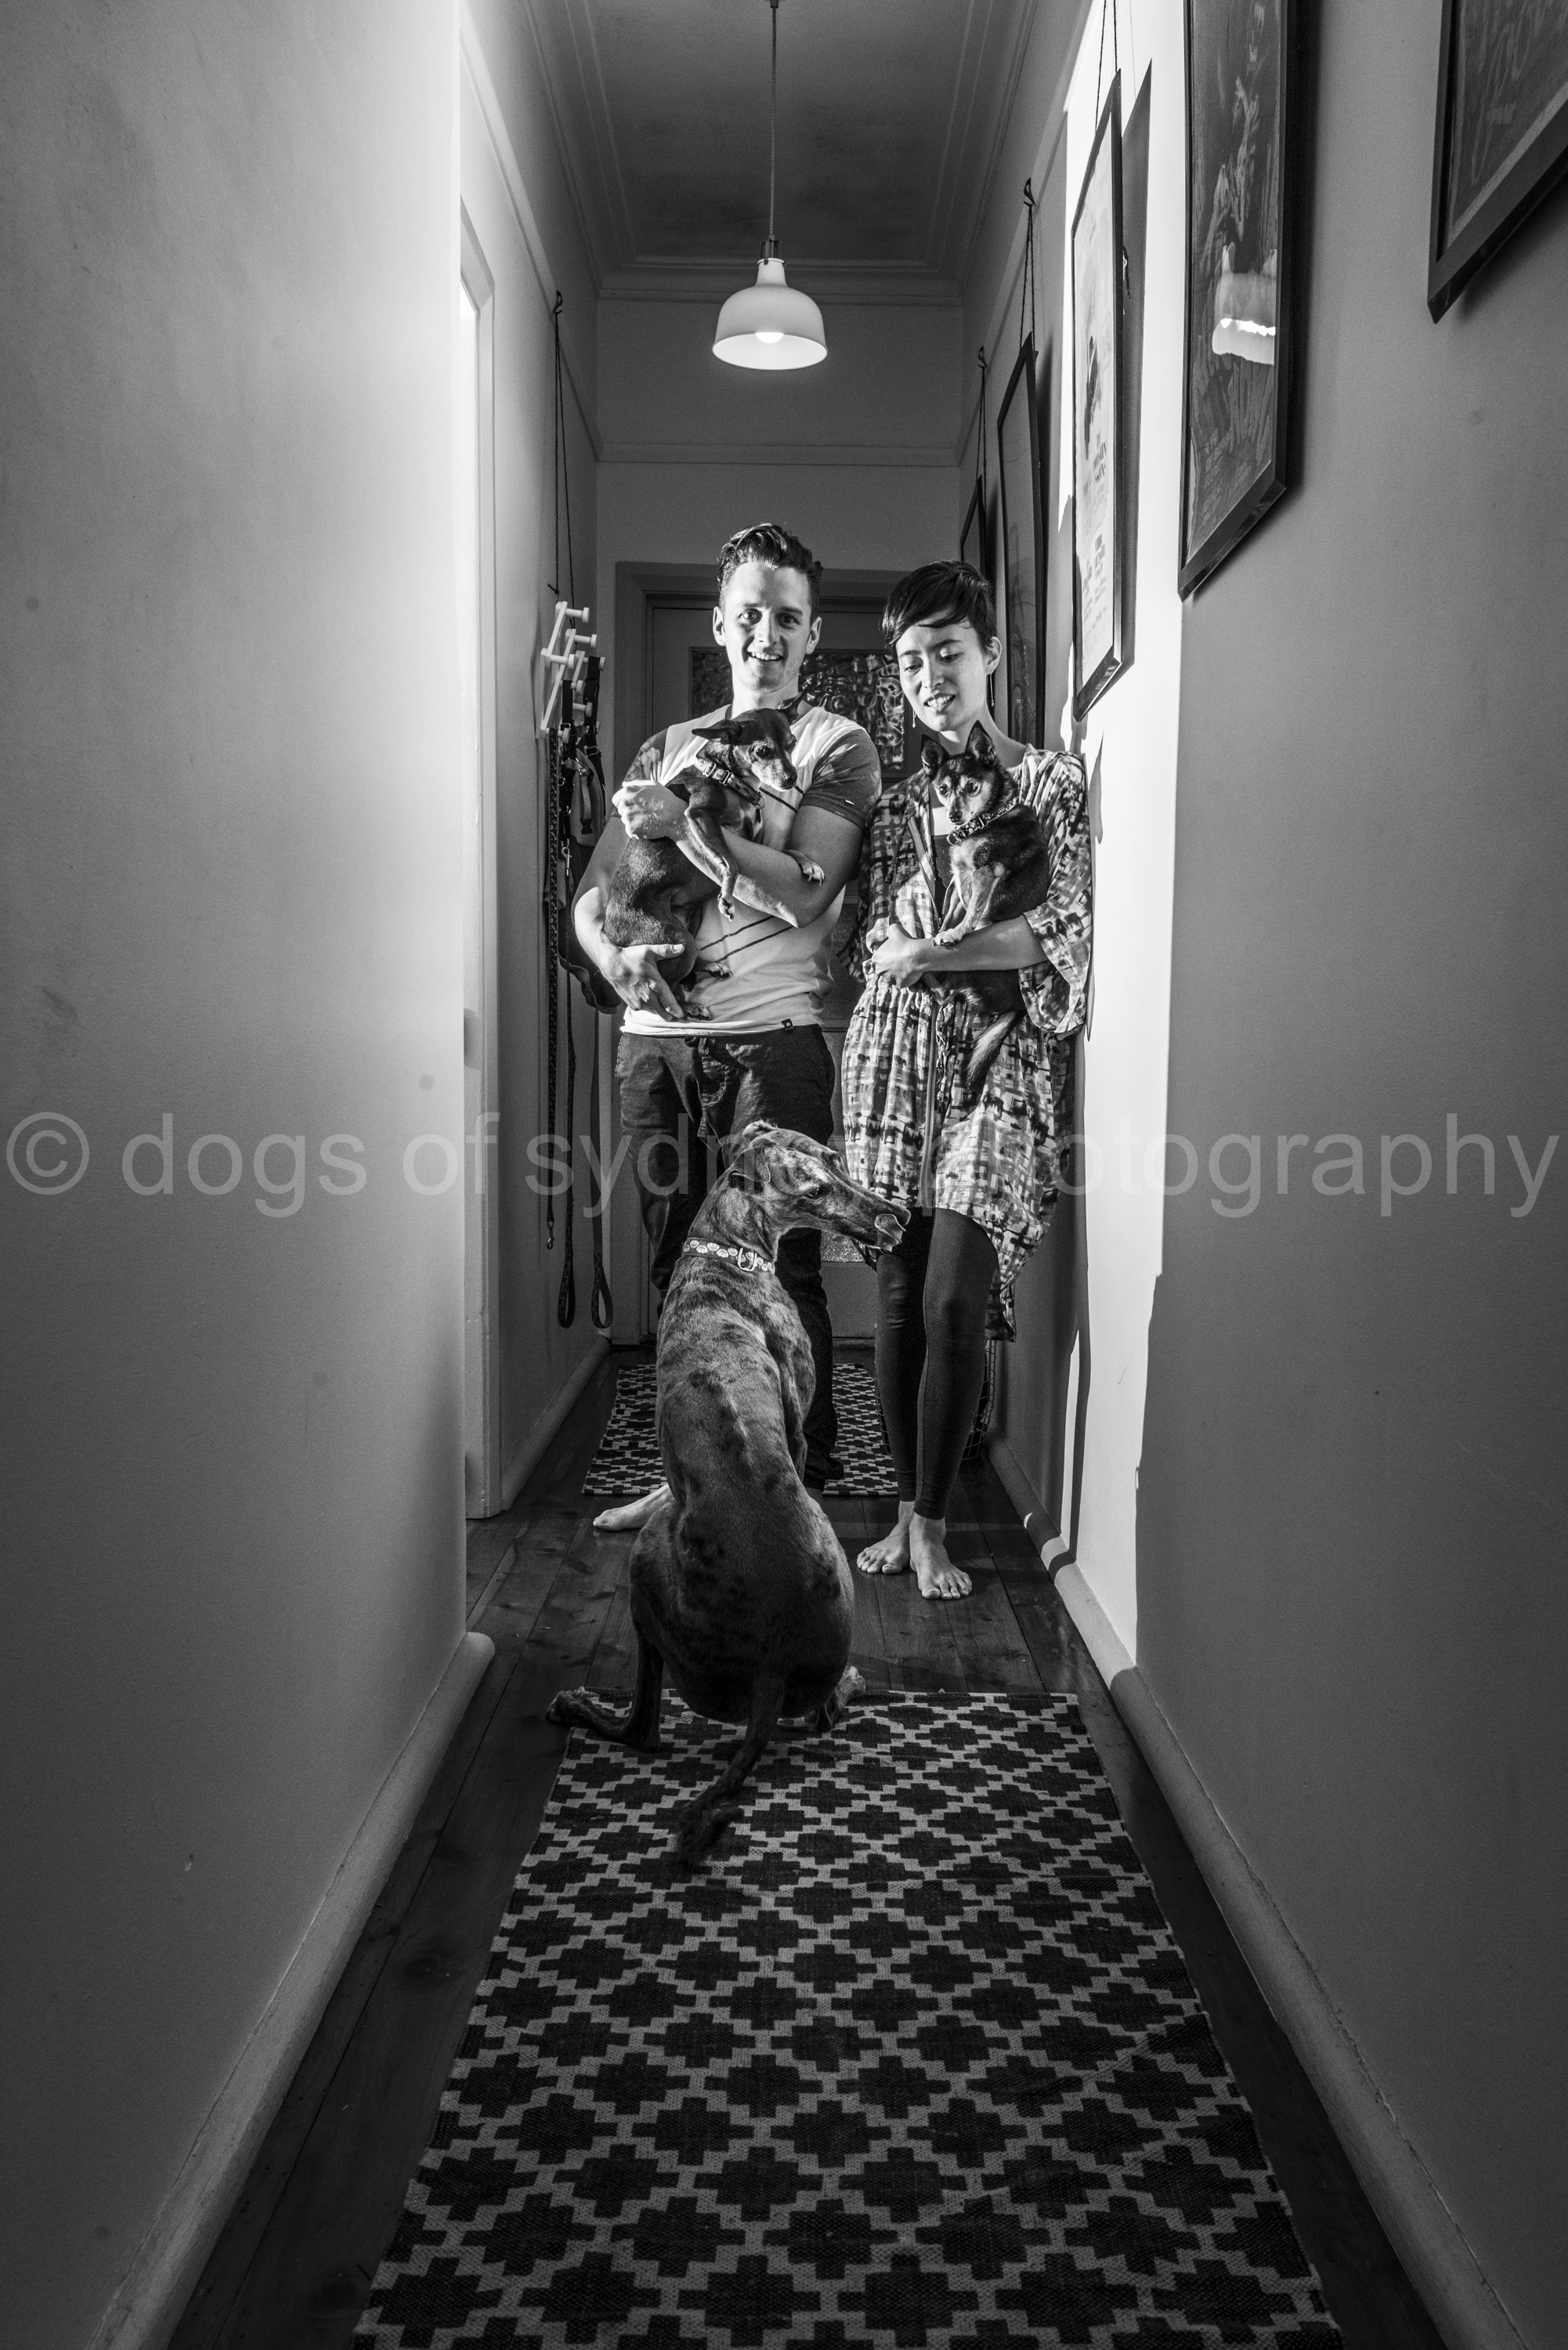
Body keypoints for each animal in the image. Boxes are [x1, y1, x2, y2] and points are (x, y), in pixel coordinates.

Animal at [549, 1123, 907, 1867]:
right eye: (814, 1191)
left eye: (836, 1160)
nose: (899, 1214)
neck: (726, 1253)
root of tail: (770, 1669)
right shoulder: (795, 1418)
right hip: (654, 1579)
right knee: (649, 1728)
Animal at [603, 710, 824, 1016]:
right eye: (762, 751)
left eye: (792, 744)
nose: (791, 778)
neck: (726, 778)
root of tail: (611, 929)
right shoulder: (700, 816)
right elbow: (732, 863)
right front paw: (727, 897)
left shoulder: (756, 841)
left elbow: (787, 850)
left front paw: (808, 863)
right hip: (676, 939)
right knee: (670, 986)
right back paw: (691, 1007)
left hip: (690, 922)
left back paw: (711, 967)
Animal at [922, 728, 1051, 1097]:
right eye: (943, 790)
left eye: (972, 787)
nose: (953, 816)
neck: (986, 819)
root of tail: (1018, 1006)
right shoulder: (961, 877)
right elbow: (956, 909)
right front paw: (943, 928)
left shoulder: (984, 872)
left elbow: (973, 912)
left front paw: (954, 933)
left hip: (974, 970)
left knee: (945, 991)